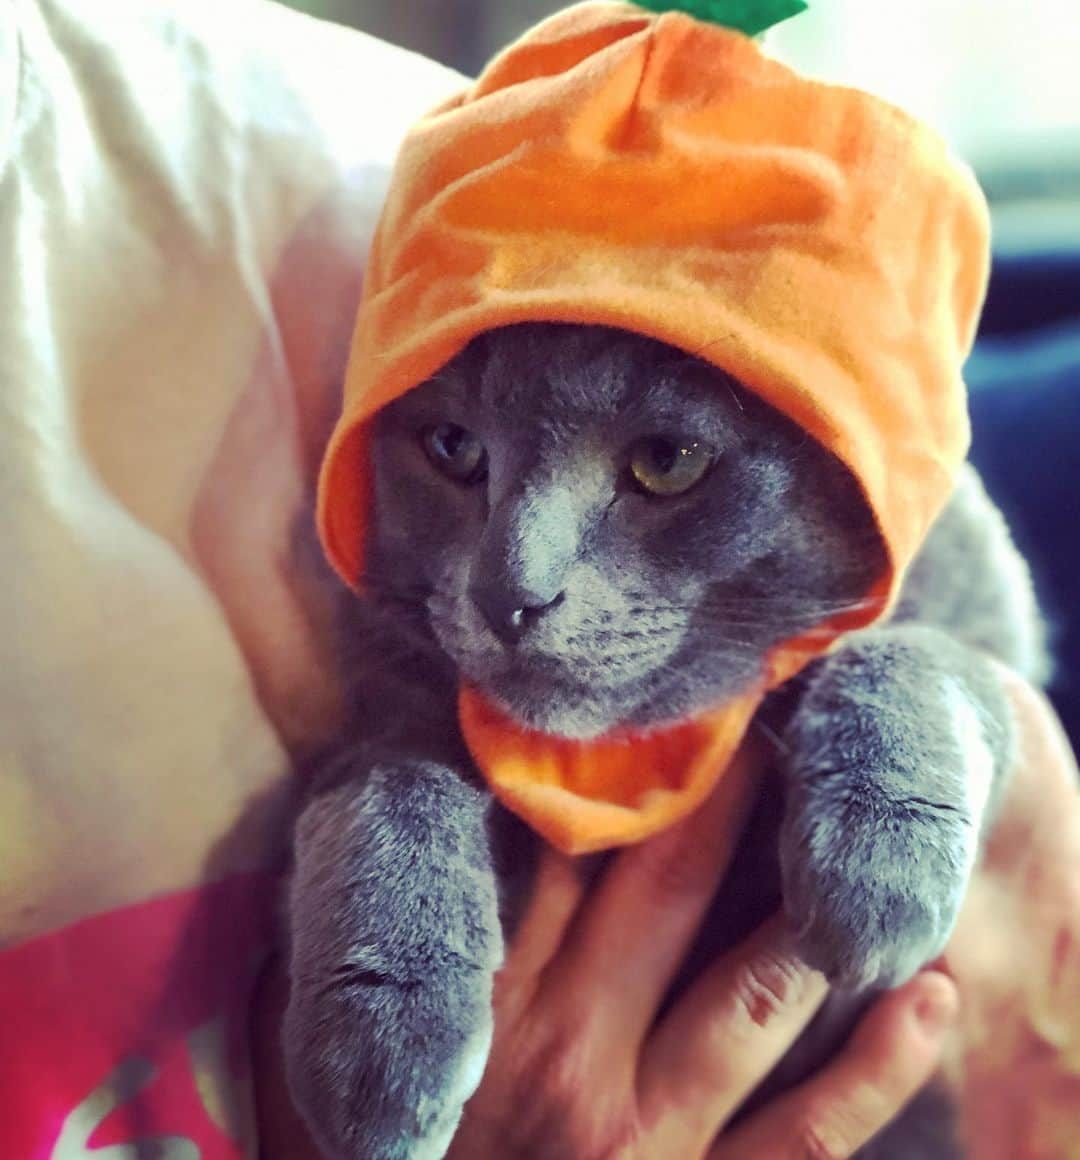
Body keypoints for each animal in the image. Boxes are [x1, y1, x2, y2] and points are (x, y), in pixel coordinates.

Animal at [283, 322, 1044, 1160]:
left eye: (668, 461)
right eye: (452, 446)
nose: (506, 597)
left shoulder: (990, 625)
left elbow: (927, 652)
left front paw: (882, 856)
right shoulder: (386, 709)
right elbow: (389, 785)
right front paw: (387, 1033)